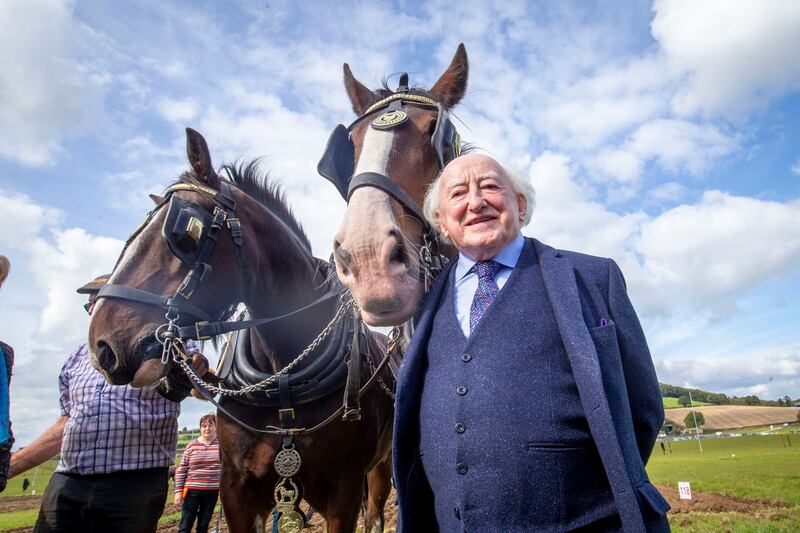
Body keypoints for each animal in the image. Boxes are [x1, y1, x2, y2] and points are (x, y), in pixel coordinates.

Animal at [88, 128, 394, 533]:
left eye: (185, 231)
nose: (102, 345)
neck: (284, 382)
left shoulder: (342, 490)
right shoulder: (236, 489)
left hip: (380, 466)